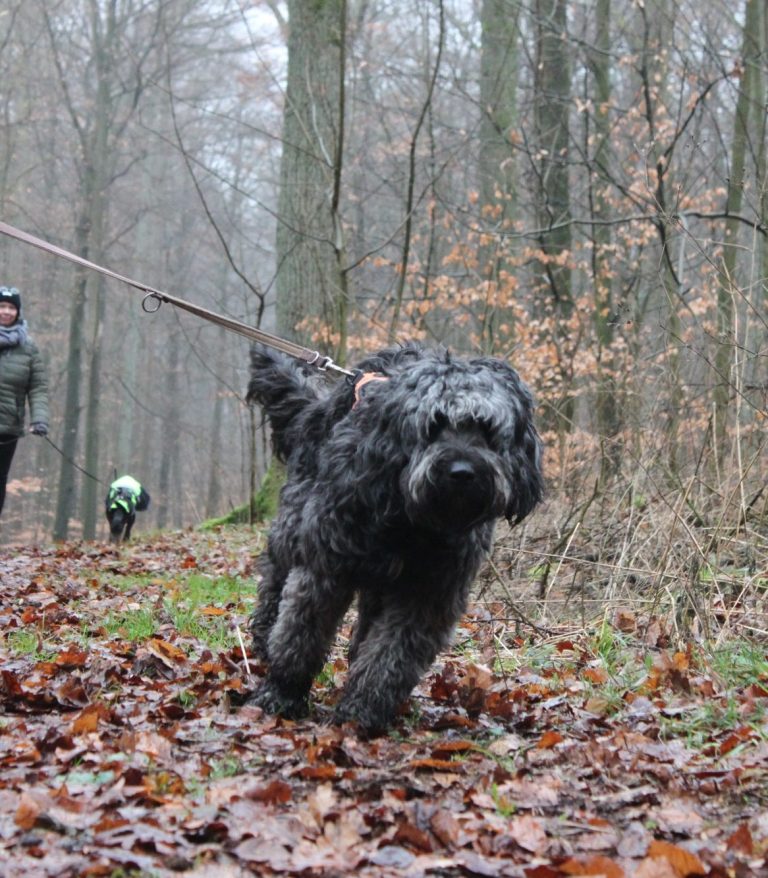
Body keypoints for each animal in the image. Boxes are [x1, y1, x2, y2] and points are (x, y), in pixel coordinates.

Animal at [244, 346, 540, 736]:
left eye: (487, 429)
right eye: (434, 425)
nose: (462, 472)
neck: (411, 521)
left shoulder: (428, 593)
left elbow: (390, 657)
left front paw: (361, 712)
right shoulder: (326, 568)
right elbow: (300, 636)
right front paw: (281, 693)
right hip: (293, 524)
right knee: (275, 580)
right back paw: (263, 638)